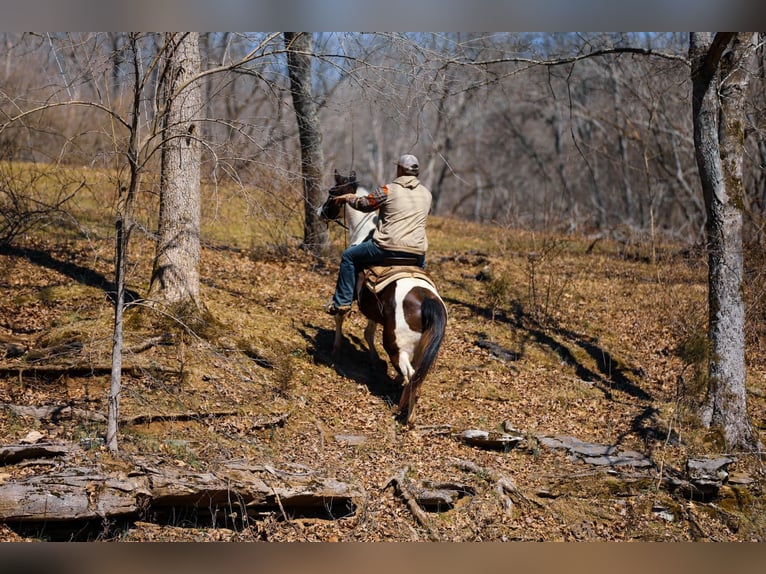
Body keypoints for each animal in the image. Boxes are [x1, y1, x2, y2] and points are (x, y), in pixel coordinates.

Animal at [319, 170, 448, 425]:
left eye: (331, 193)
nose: (320, 211)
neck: (363, 232)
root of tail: (427, 301)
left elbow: (340, 313)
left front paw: (336, 348)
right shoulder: (372, 307)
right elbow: (368, 333)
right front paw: (372, 358)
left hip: (397, 345)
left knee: (411, 376)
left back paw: (405, 414)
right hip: (420, 348)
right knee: (416, 376)